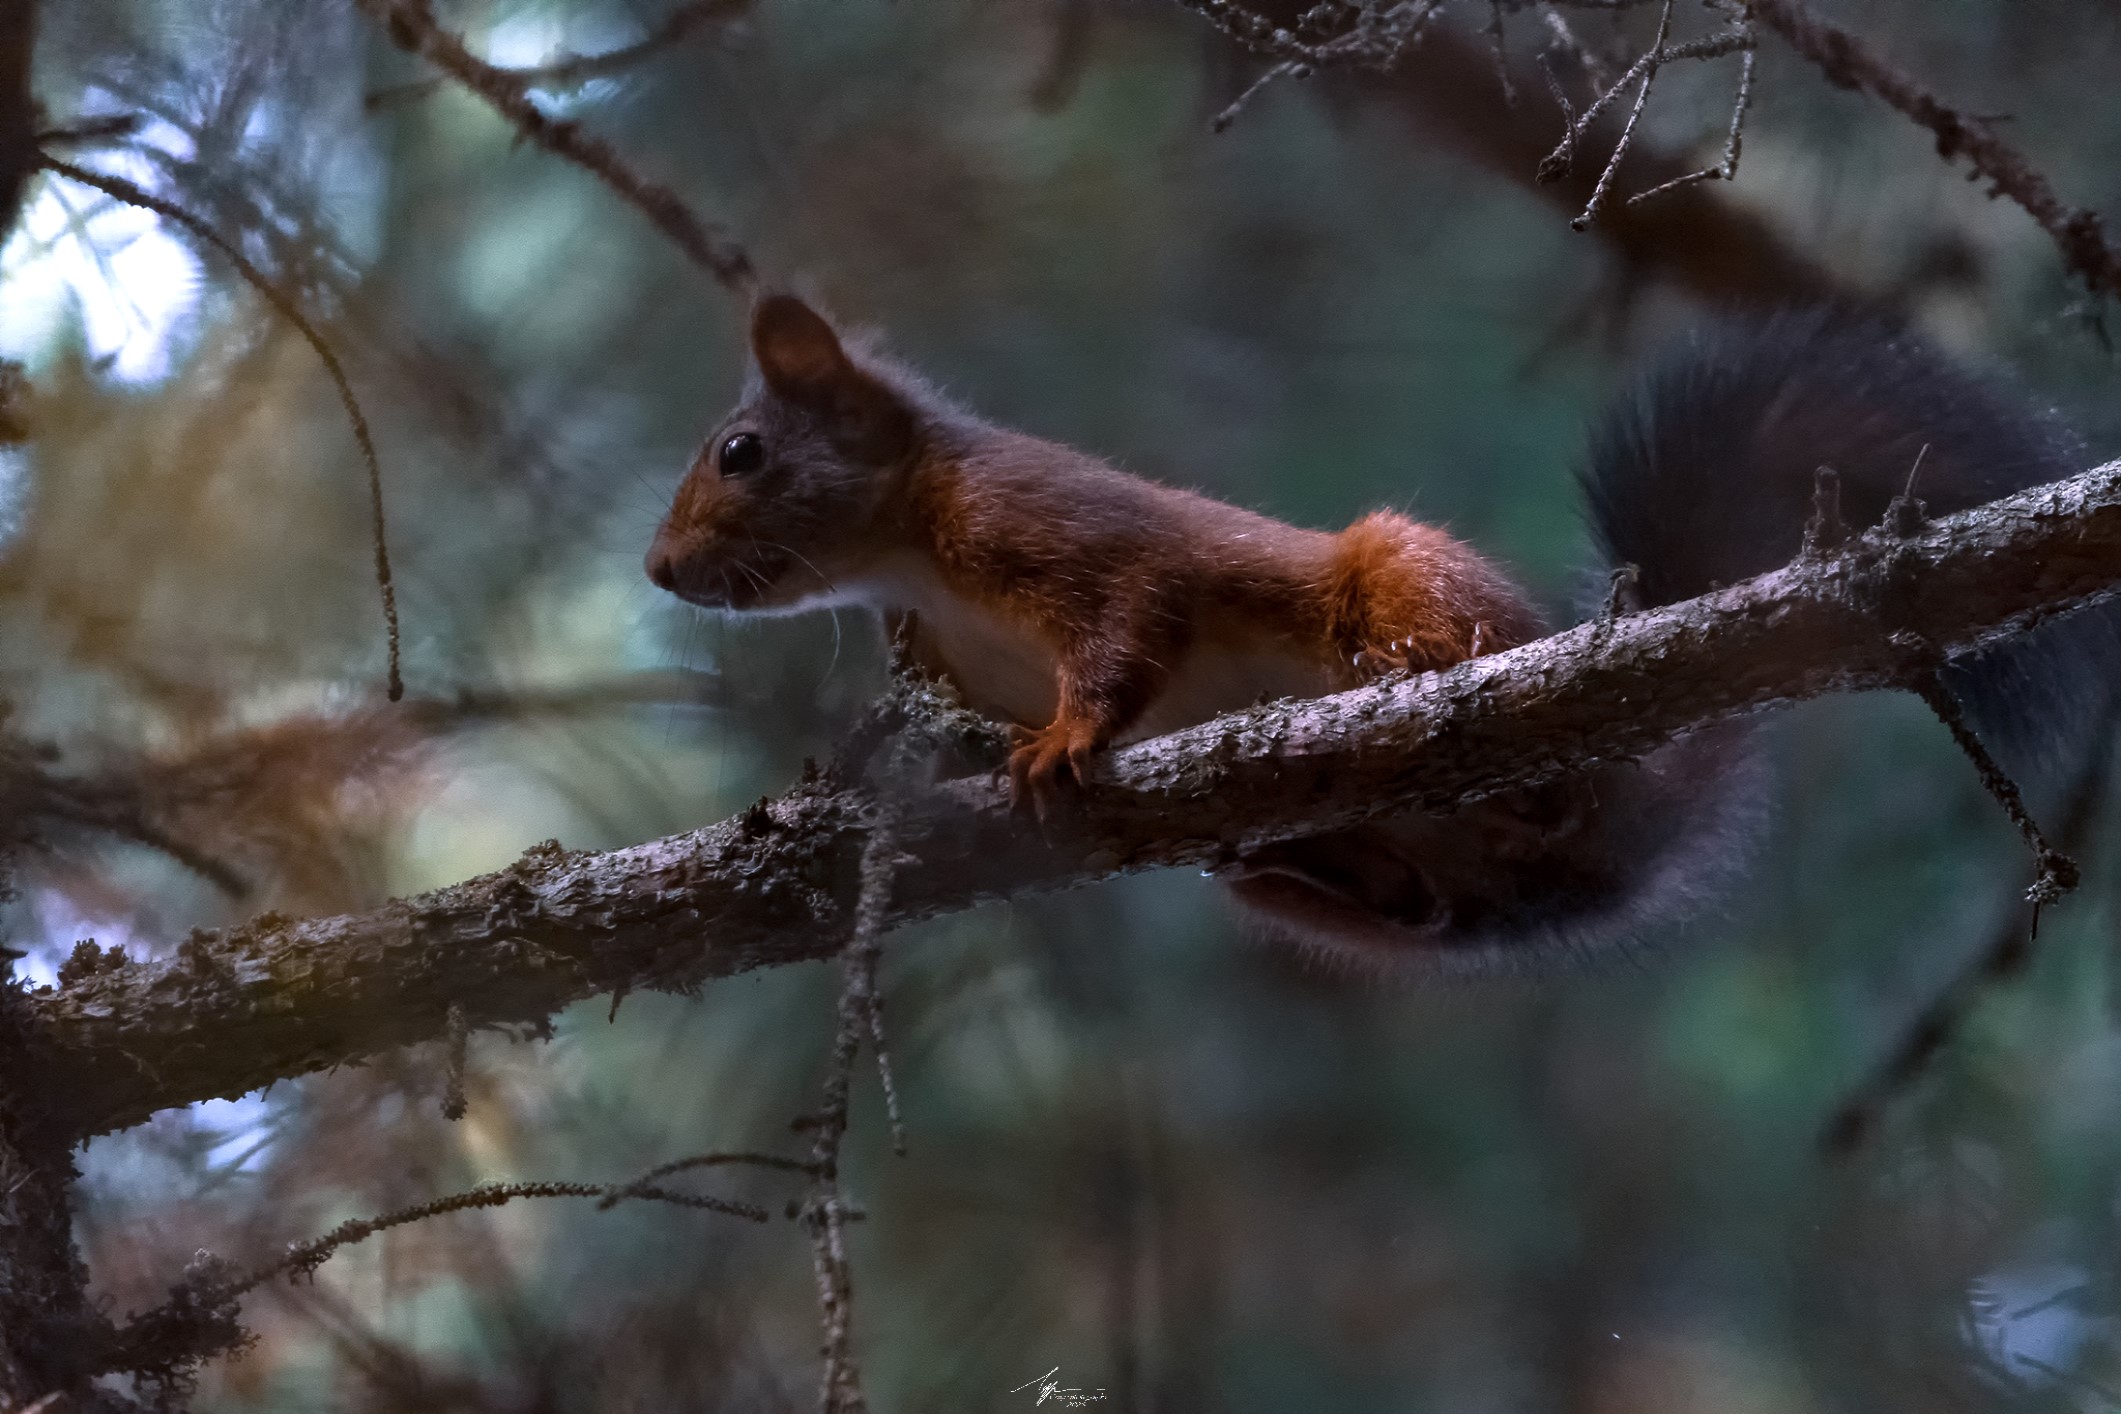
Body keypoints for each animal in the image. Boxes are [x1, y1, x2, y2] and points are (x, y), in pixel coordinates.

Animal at [646, 295, 2110, 972]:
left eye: (740, 452)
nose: (657, 571)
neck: (911, 556)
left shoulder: (1065, 534)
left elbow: (1130, 627)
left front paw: (1067, 739)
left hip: (1399, 569)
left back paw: (1424, 679)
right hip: (1360, 890)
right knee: (1412, 899)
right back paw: (1320, 861)